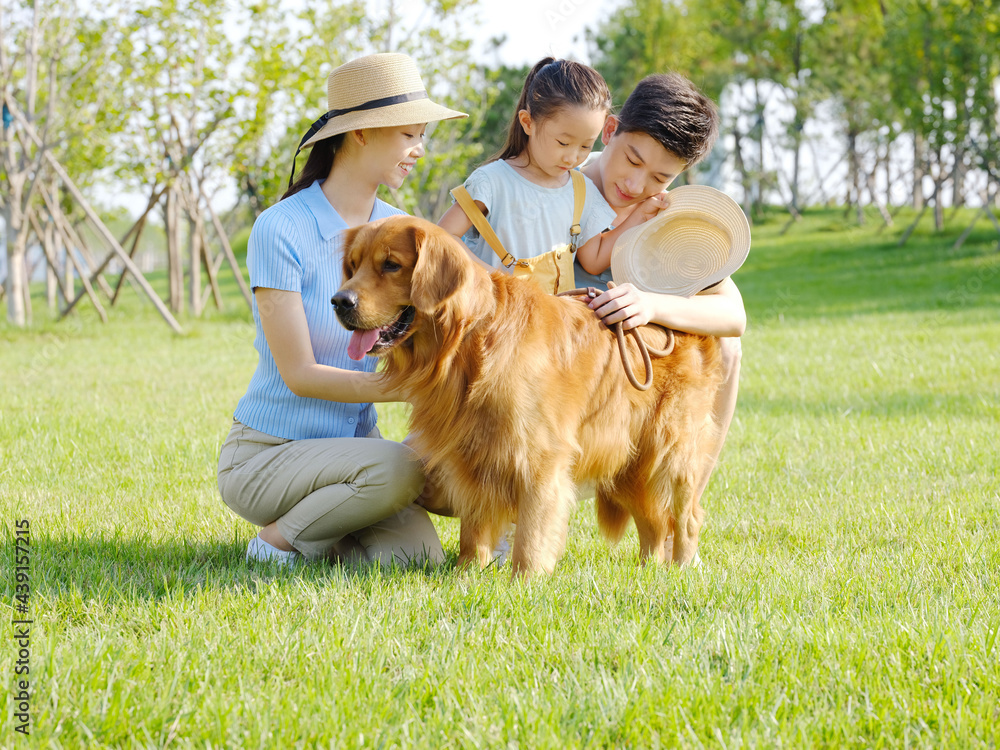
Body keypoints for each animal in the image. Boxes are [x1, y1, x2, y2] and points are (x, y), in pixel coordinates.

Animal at [332, 214, 724, 580]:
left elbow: (532, 531)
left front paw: (524, 581)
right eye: (353, 265)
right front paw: (465, 576)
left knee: (687, 518)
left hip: (672, 454)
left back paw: (682, 569)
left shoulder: (539, 457)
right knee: (653, 523)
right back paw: (647, 573)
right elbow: (473, 529)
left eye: (391, 264)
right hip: (629, 462)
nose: (339, 301)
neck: (472, 339)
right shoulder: (472, 453)